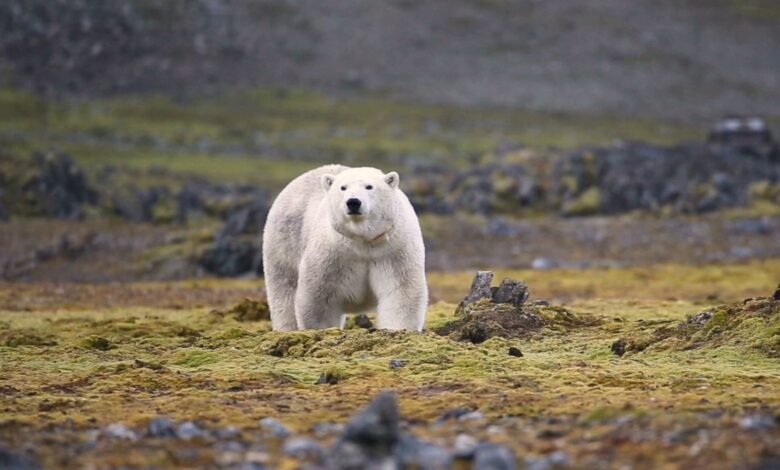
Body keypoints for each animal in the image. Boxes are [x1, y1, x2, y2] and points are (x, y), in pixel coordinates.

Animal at [262, 165, 428, 331]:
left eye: (369, 186)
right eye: (343, 187)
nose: (353, 202)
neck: (363, 242)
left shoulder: (393, 249)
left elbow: (401, 290)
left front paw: (397, 328)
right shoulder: (332, 253)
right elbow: (318, 295)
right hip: (284, 241)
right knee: (284, 287)